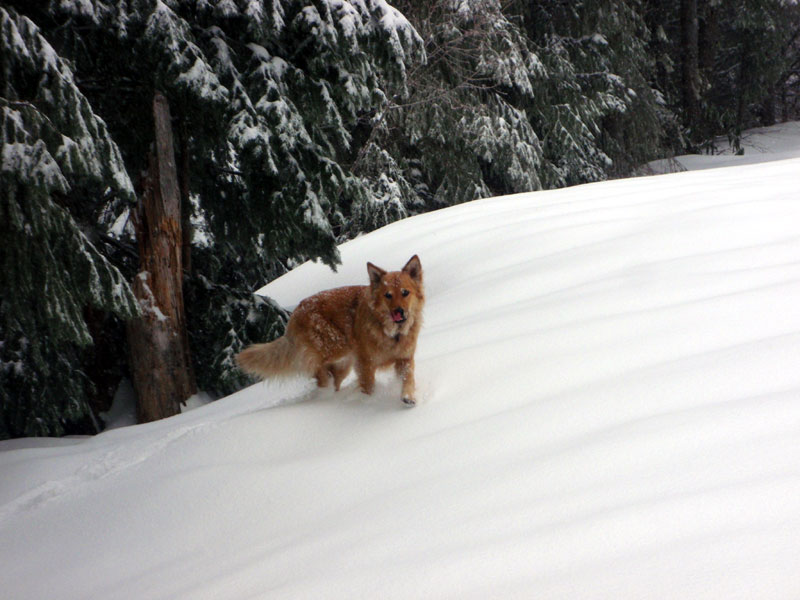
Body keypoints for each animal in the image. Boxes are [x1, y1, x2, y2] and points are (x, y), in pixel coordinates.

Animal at [236, 255, 424, 406]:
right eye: (388, 295)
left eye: (405, 292)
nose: (399, 311)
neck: (392, 333)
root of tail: (296, 311)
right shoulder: (365, 364)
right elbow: (368, 386)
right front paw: (368, 401)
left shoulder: (404, 358)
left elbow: (408, 379)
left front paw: (408, 397)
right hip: (334, 348)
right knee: (319, 370)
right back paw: (325, 390)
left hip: (345, 362)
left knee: (332, 378)